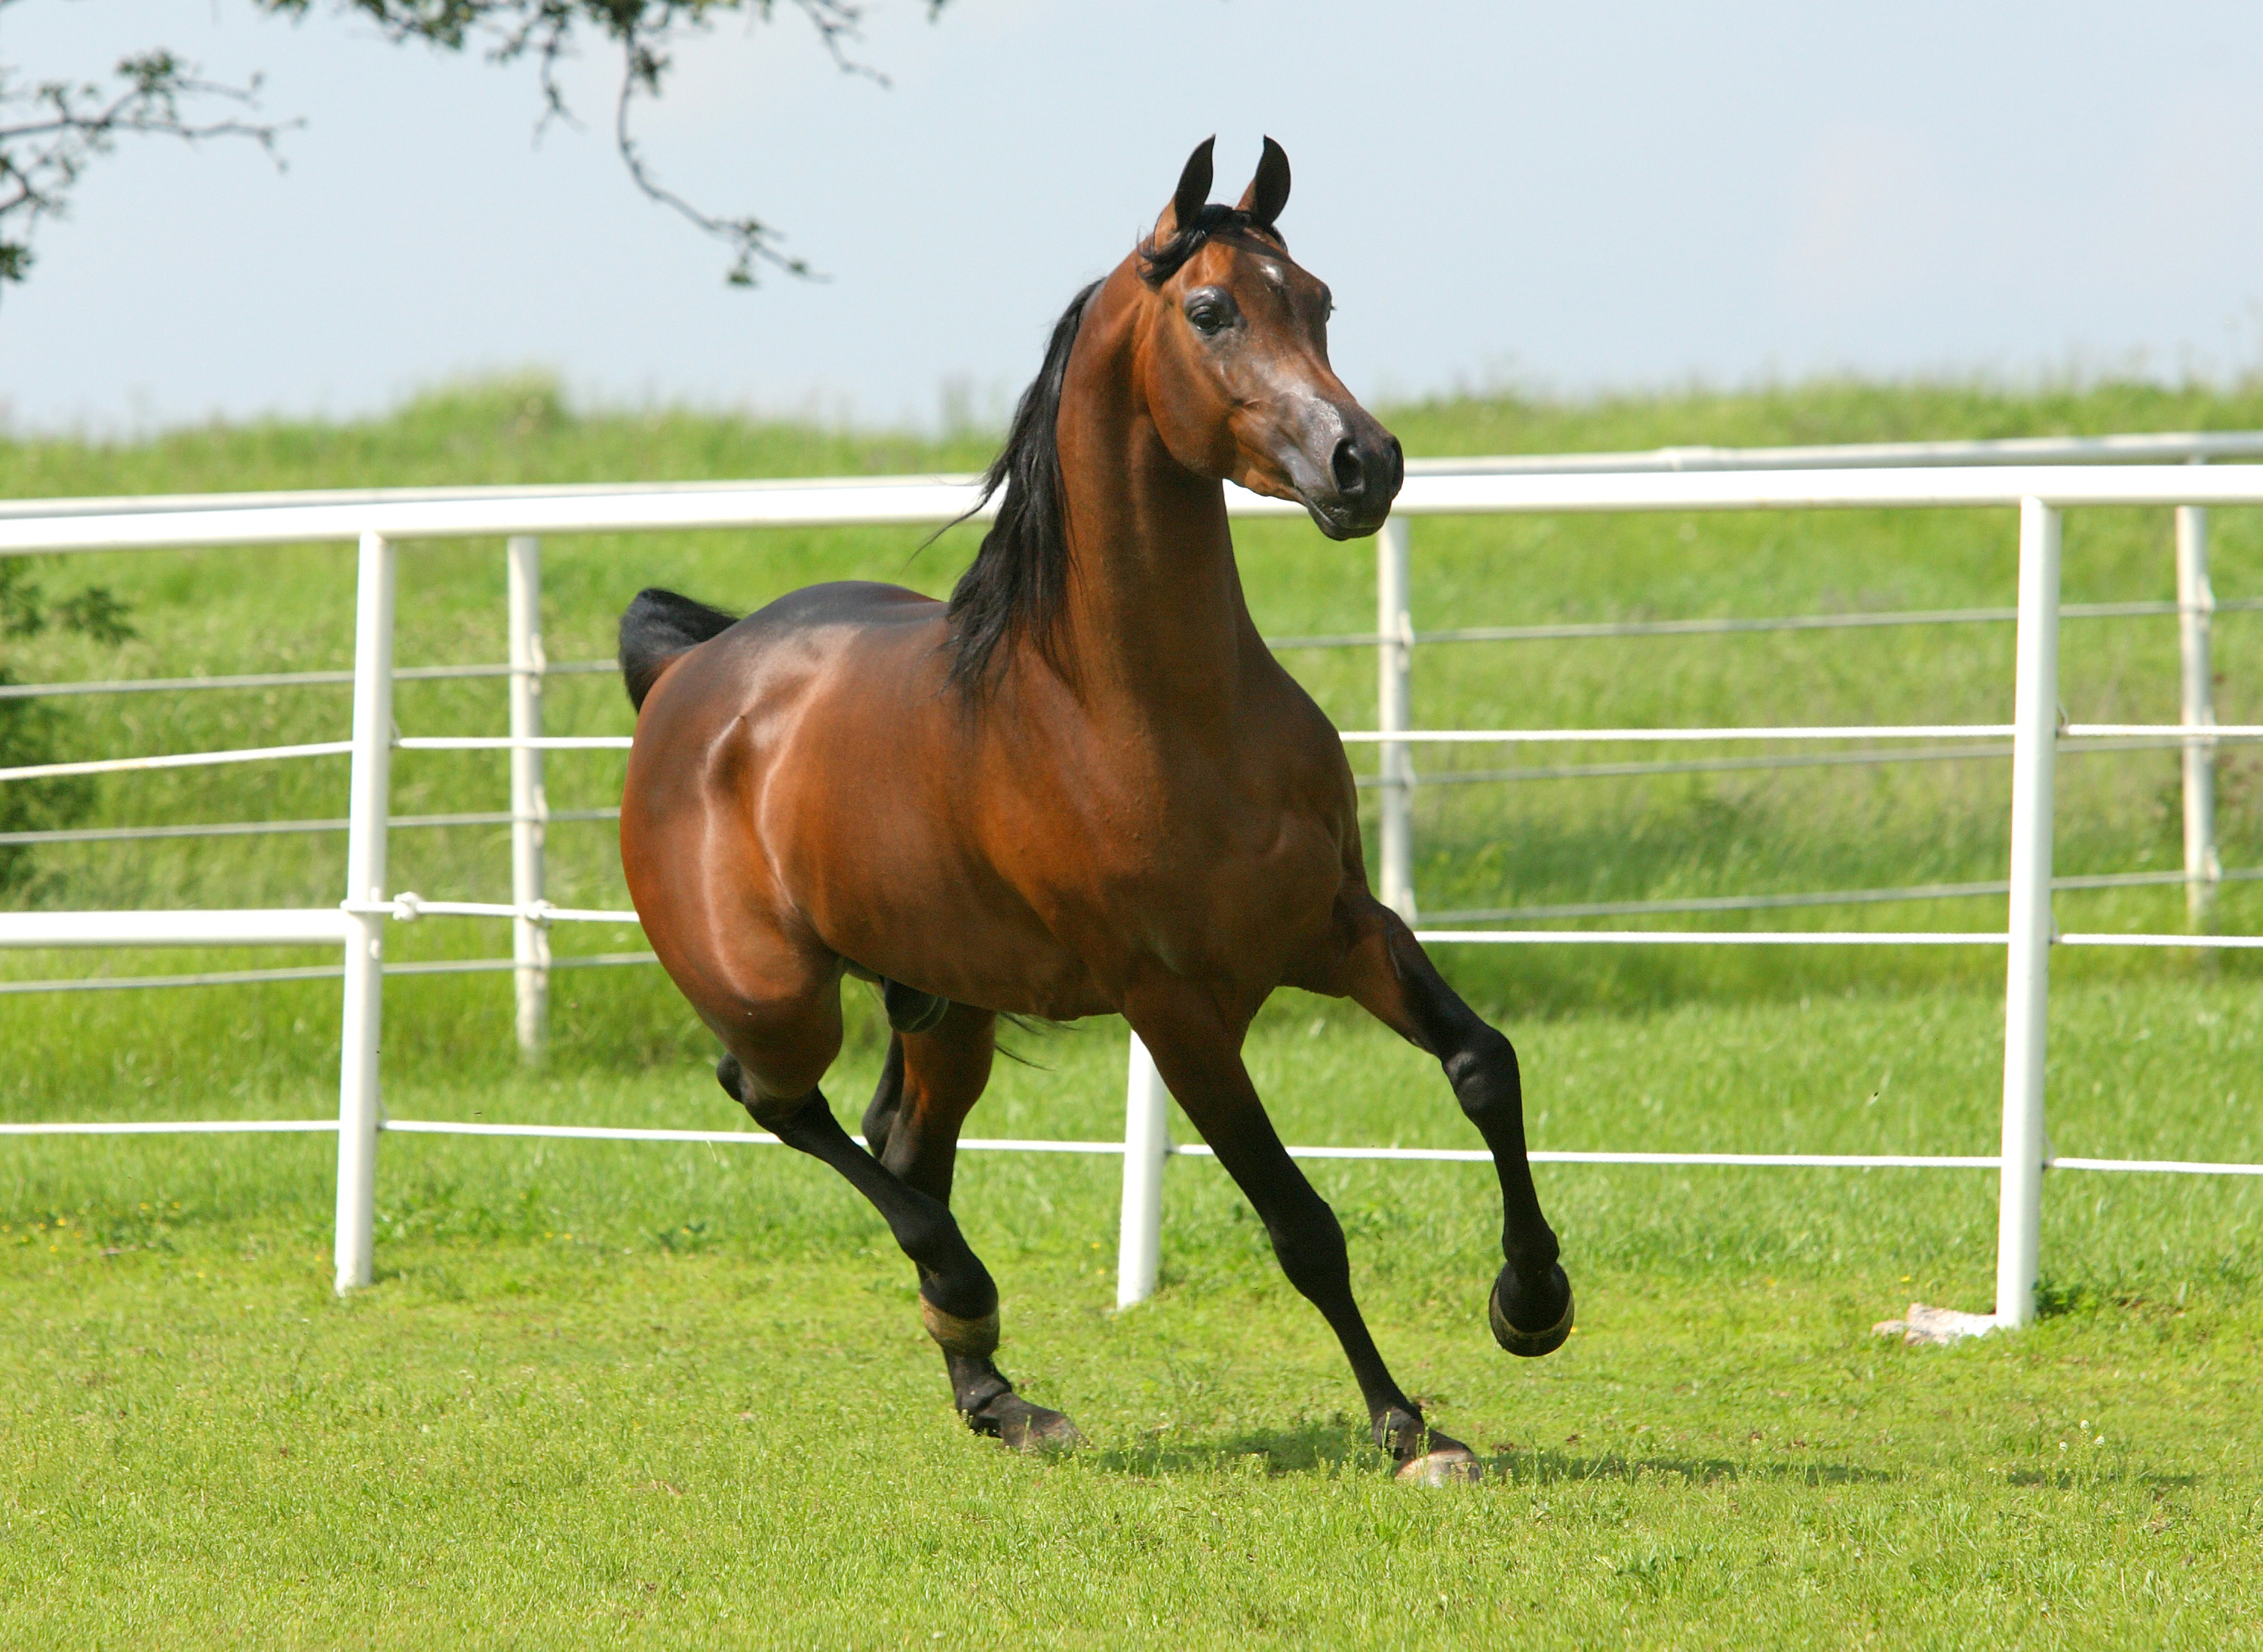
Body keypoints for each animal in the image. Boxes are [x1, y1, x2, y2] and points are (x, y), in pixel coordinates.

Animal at [620, 141, 1575, 1485]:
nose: (1365, 464)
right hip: (777, 995)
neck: (1153, 712)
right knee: (777, 1101)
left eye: (1319, 299)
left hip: (948, 1003)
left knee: (905, 1143)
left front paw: (1531, 1302)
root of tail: (687, 673)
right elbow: (1302, 1224)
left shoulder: (1338, 925)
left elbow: (1486, 1065)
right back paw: (966, 1294)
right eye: (1211, 309)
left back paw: (997, 1393)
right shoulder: (1174, 1008)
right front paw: (1404, 1426)